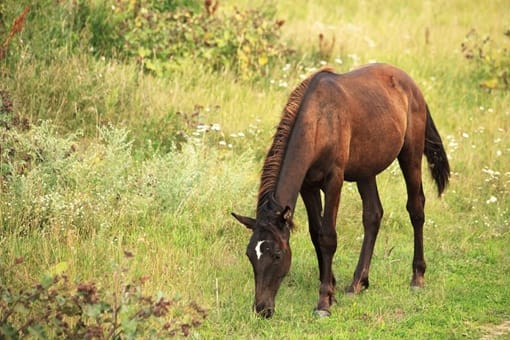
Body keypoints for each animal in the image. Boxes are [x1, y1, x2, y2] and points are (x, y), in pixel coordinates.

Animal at [232, 62, 450, 318]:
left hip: (411, 154)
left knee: (416, 208)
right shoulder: (308, 186)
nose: (262, 309)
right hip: (366, 170)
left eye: (277, 255)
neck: (319, 121)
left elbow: (328, 237)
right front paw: (332, 289)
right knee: (373, 215)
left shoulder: (333, 181)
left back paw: (417, 278)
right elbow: (316, 233)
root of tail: (411, 85)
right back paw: (358, 283)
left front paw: (323, 302)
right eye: (250, 255)